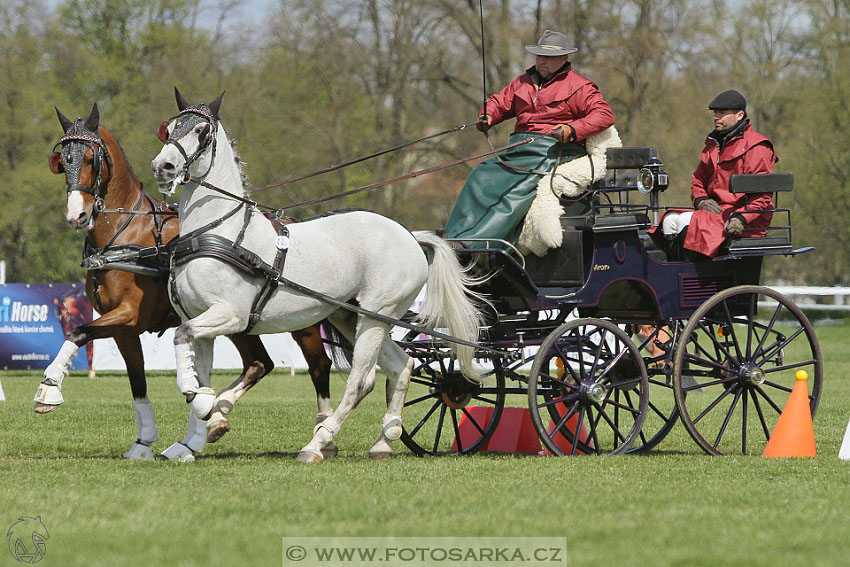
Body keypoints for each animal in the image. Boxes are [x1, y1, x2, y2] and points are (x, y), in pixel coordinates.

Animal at [37, 103, 334, 462]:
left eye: (91, 158)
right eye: (61, 160)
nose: (76, 216)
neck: (127, 233)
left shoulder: (129, 315)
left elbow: (77, 332)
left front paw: (49, 388)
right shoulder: (124, 329)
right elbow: (137, 381)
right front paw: (143, 442)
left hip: (302, 321)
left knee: (319, 366)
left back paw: (320, 437)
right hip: (242, 319)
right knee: (259, 363)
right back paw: (214, 419)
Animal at [151, 89, 484, 462]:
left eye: (202, 132)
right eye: (169, 129)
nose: (163, 167)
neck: (218, 232)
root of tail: (411, 236)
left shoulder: (230, 315)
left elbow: (181, 343)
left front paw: (206, 406)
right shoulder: (200, 320)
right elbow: (199, 370)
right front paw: (191, 438)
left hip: (376, 317)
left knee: (361, 380)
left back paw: (317, 443)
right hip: (351, 316)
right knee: (402, 366)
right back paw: (385, 439)